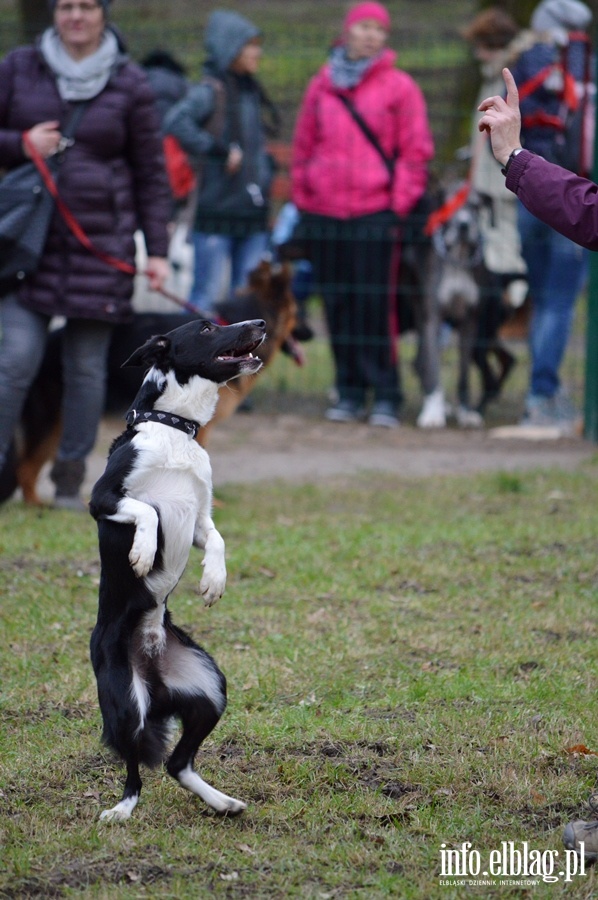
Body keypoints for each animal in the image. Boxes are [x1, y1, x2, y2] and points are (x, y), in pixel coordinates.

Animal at [88, 316, 264, 824]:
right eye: (206, 328)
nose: (259, 322)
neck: (174, 430)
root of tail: (153, 674)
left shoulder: (200, 517)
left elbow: (217, 538)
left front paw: (213, 581)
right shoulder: (102, 499)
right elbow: (147, 511)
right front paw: (144, 553)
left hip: (210, 691)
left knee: (177, 763)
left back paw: (222, 801)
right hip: (126, 704)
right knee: (134, 768)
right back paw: (121, 810)